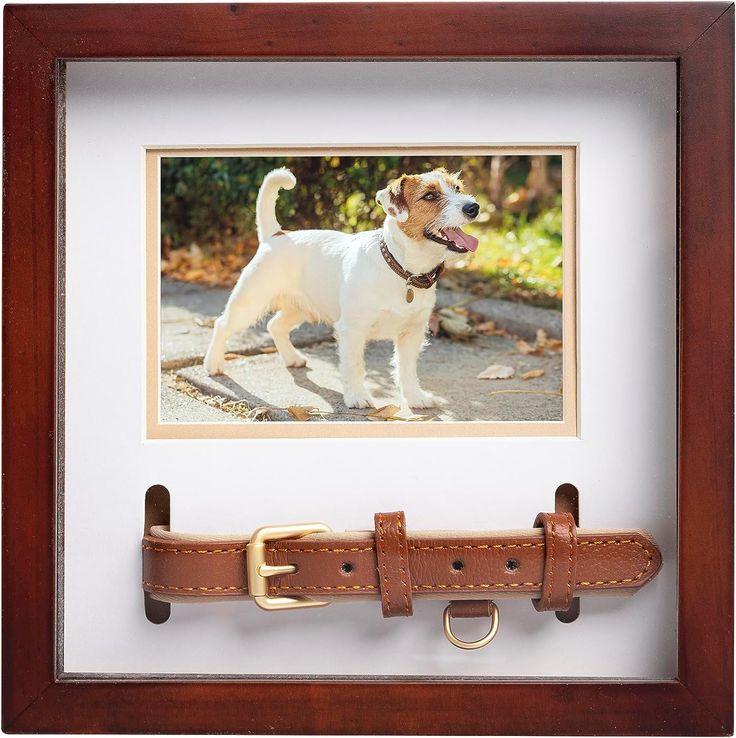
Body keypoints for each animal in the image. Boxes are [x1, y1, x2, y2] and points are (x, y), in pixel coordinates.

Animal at [204, 167, 480, 408]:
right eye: (430, 196)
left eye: (457, 188)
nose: (473, 207)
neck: (403, 270)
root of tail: (276, 235)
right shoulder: (353, 331)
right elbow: (354, 366)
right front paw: (357, 397)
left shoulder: (412, 333)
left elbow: (407, 368)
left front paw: (415, 397)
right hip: (249, 303)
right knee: (222, 325)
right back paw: (213, 364)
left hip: (300, 308)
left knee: (275, 325)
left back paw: (292, 359)